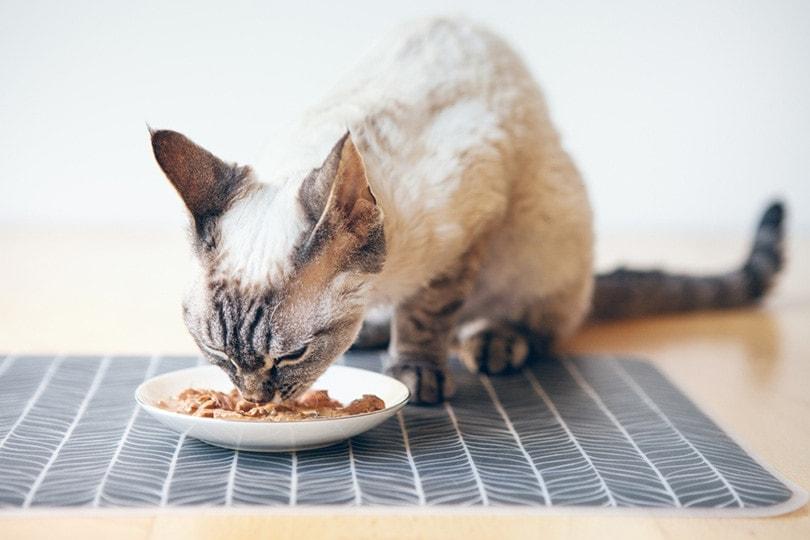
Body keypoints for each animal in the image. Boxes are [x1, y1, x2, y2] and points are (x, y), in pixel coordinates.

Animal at [148, 17, 780, 404]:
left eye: (293, 356)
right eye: (216, 355)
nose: (256, 399)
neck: (382, 284)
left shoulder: (471, 225)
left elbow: (429, 313)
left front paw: (416, 372)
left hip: (543, 237)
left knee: (538, 323)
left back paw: (493, 342)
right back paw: (377, 332)